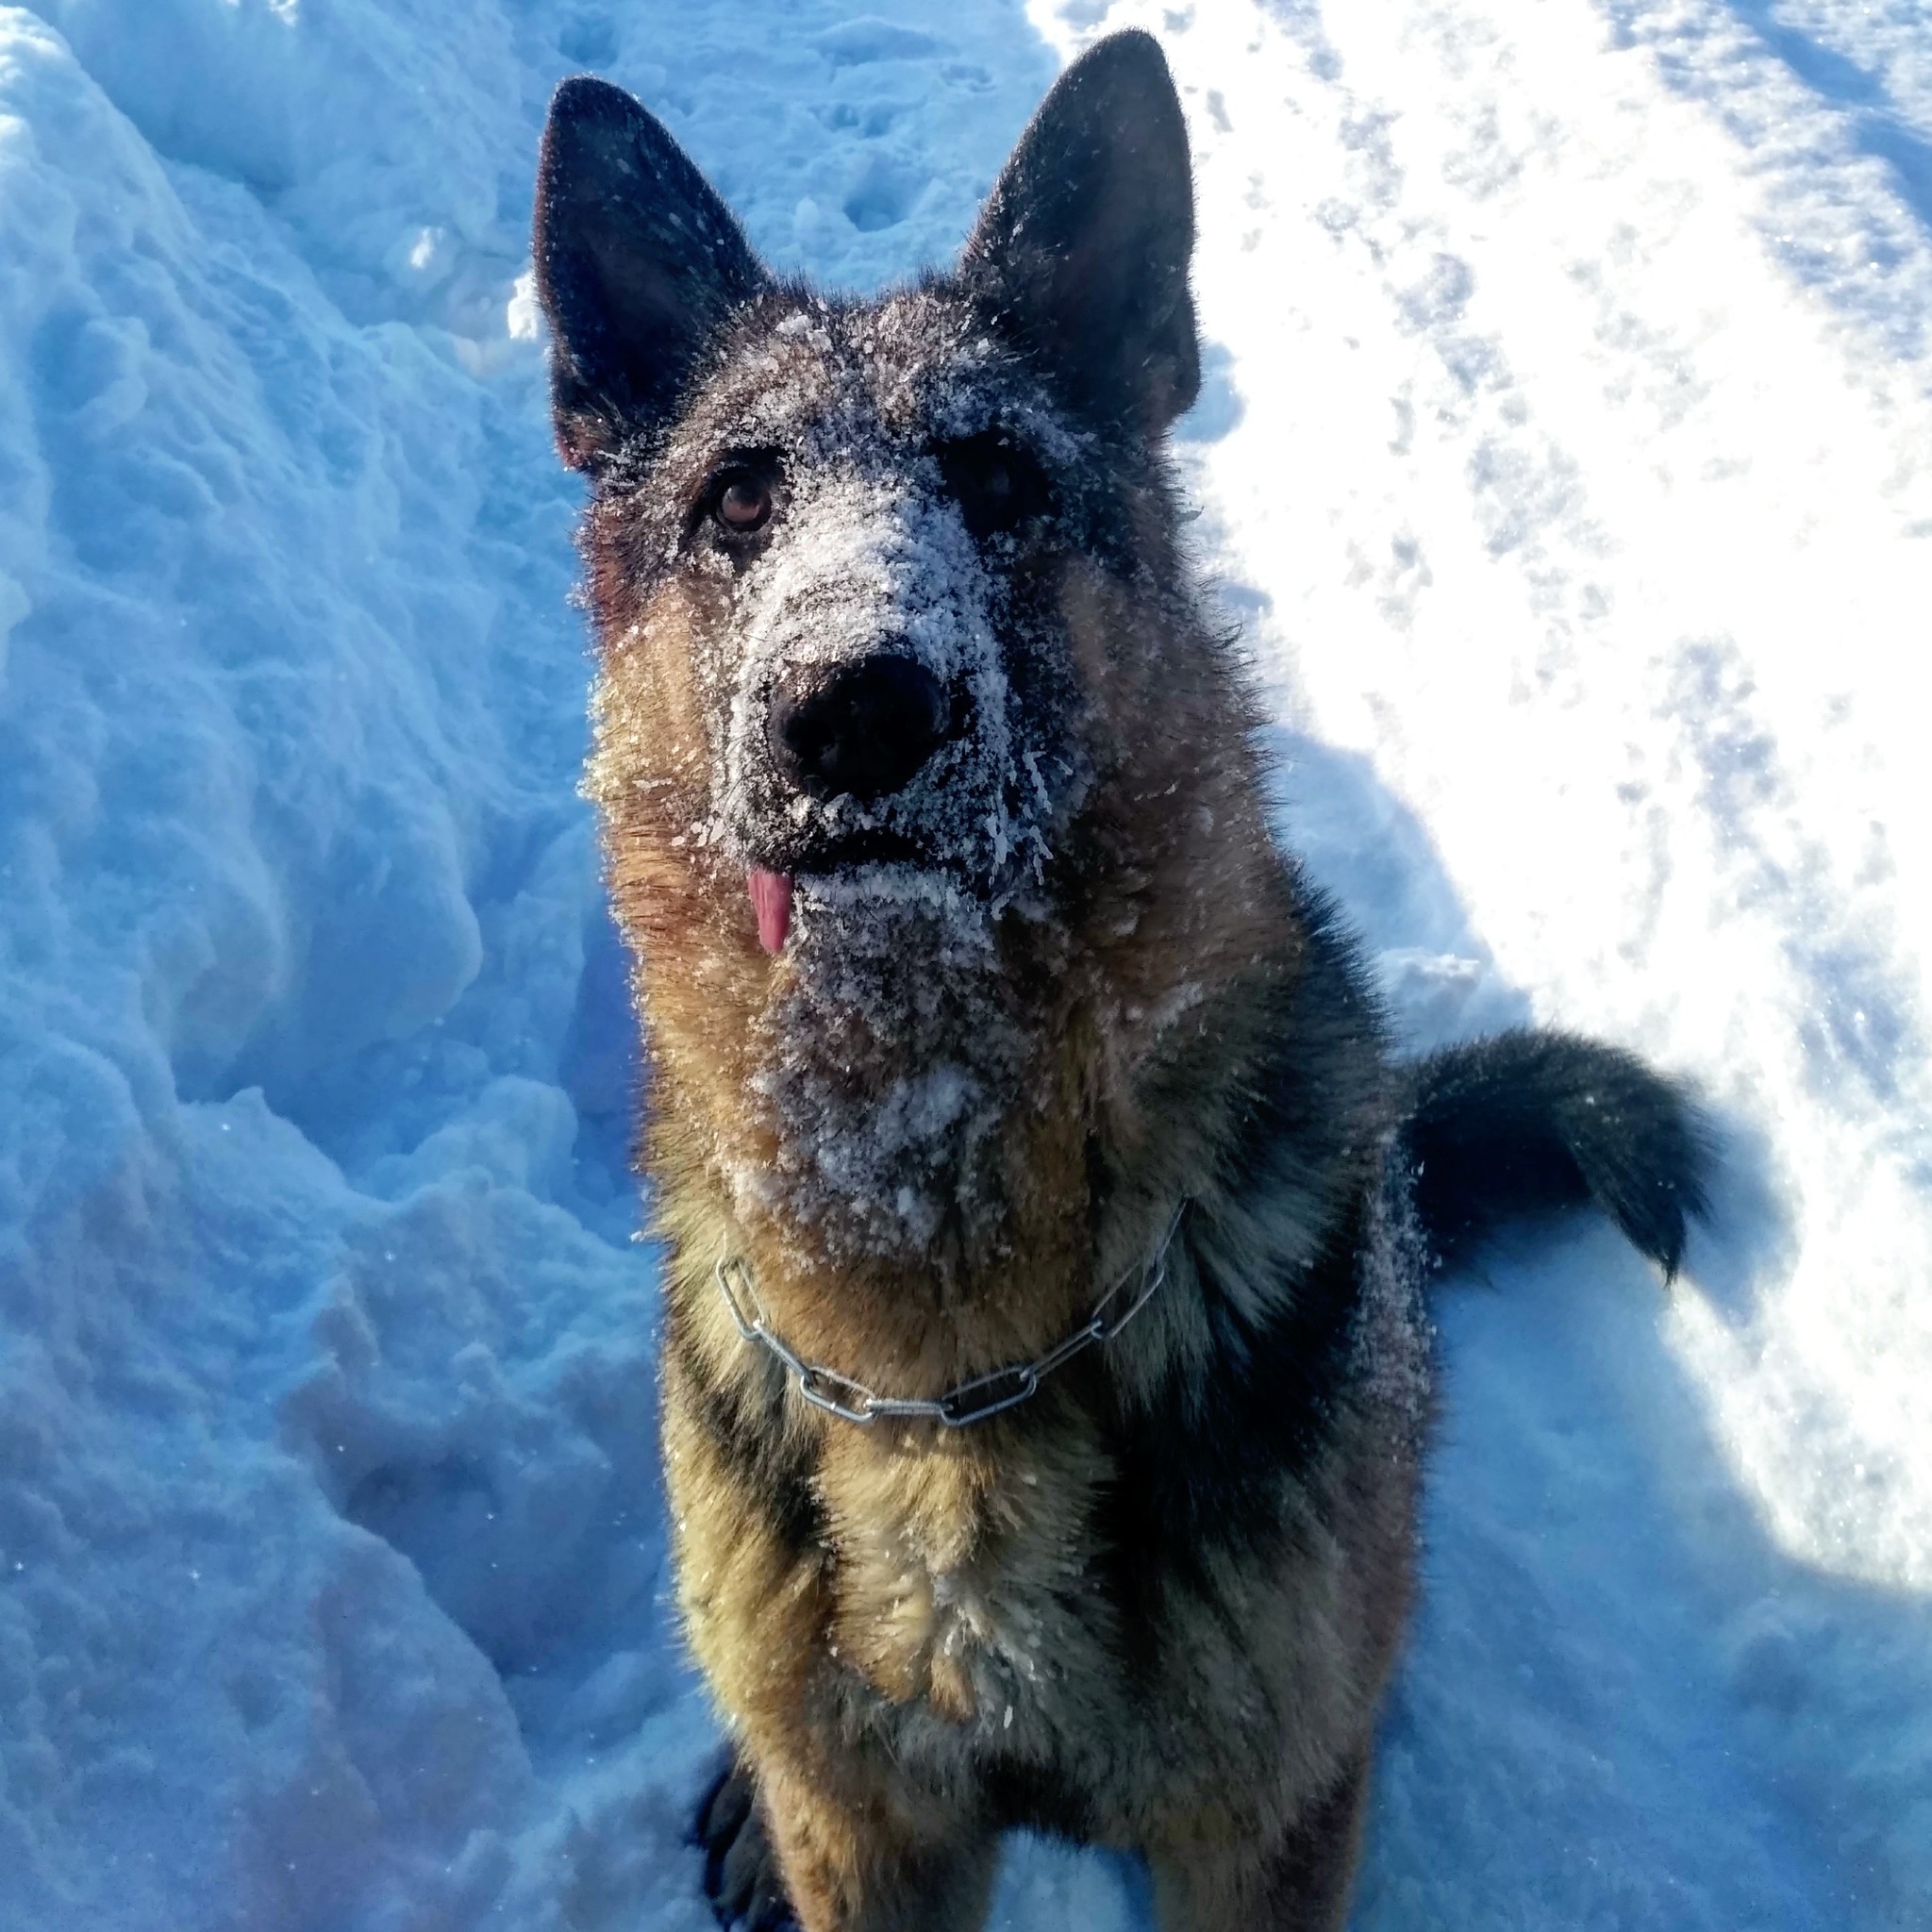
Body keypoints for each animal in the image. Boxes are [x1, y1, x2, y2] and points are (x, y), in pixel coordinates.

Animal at [529, 30, 1707, 1932]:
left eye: (1000, 481)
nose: (856, 710)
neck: (959, 1360)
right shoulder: (876, 1832)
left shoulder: (1258, 1824)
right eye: (738, 498)